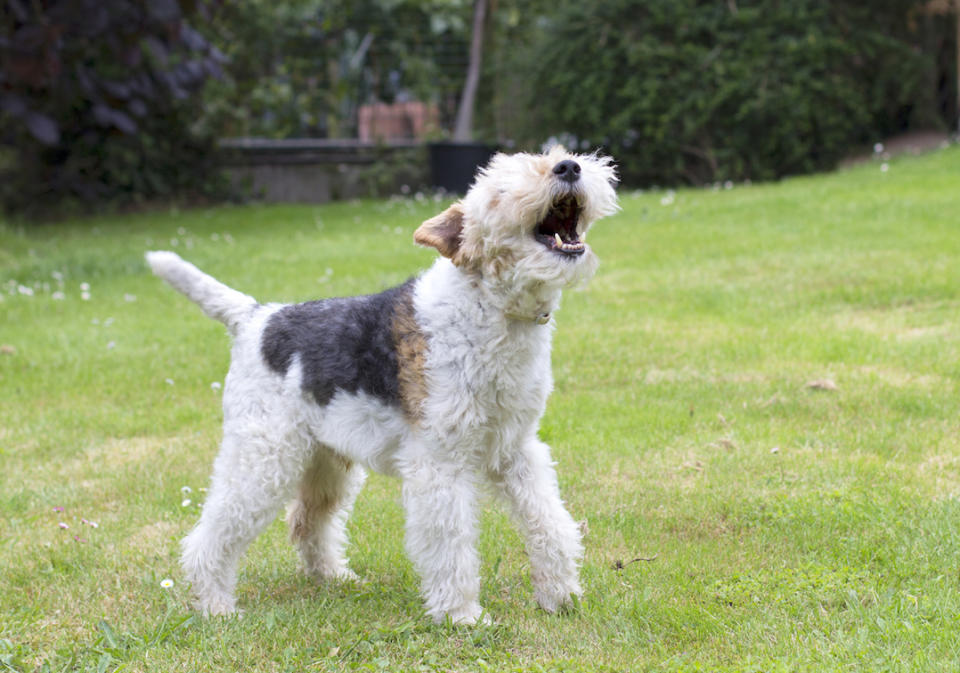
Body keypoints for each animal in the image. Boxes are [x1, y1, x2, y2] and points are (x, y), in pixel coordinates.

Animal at [146, 144, 620, 624]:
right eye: (500, 190)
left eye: (555, 156)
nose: (569, 167)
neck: (490, 307)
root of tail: (256, 317)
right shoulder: (439, 461)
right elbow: (451, 543)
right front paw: (462, 615)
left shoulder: (516, 449)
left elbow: (549, 522)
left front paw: (561, 597)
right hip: (264, 457)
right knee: (211, 534)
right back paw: (216, 606)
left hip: (326, 461)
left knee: (307, 521)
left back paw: (335, 577)